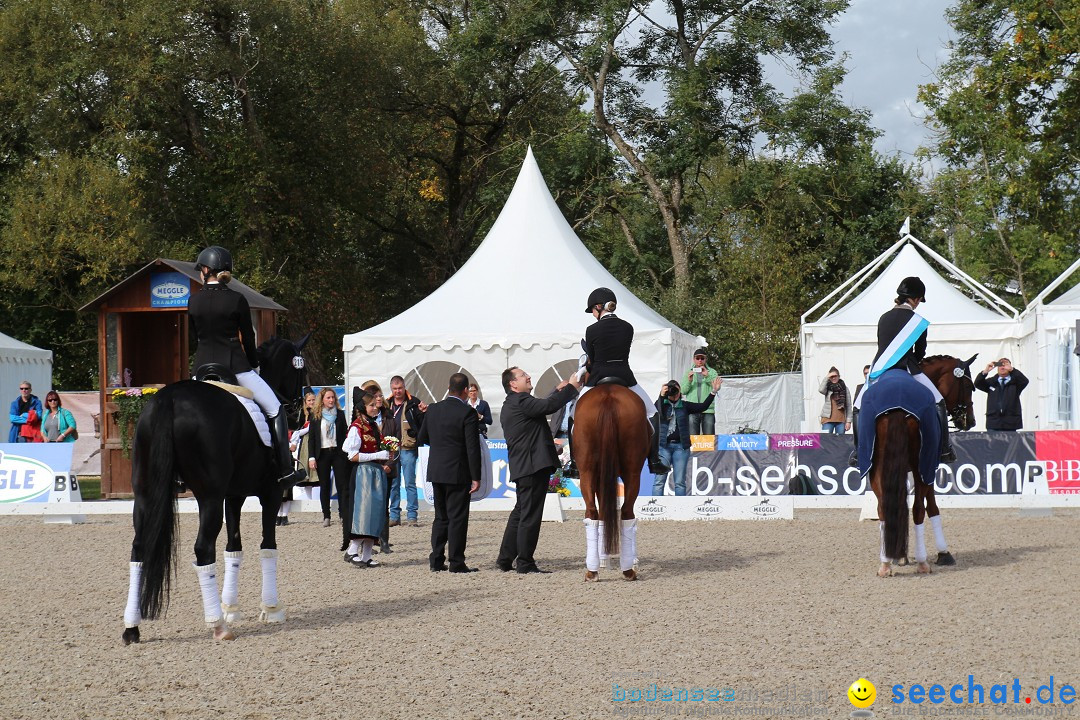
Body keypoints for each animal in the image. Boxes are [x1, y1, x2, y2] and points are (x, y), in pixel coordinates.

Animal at [123, 334, 308, 643]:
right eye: (301, 372)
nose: (298, 415)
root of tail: (169, 399)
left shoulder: (233, 496)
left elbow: (234, 548)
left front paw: (231, 608)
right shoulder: (270, 494)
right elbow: (268, 546)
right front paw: (271, 608)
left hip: (145, 495)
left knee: (139, 548)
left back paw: (131, 628)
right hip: (208, 497)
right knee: (203, 548)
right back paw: (218, 626)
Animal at [574, 386, 648, 582]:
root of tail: (608, 396)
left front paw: (603, 557)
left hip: (587, 472)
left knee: (594, 512)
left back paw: (595, 570)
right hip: (631, 472)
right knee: (625, 512)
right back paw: (627, 569)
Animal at [868, 356, 980, 578]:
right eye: (967, 386)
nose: (970, 421)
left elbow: (901, 502)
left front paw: (900, 556)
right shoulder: (929, 467)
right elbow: (932, 506)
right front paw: (944, 553)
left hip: (877, 468)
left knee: (884, 507)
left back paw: (886, 564)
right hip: (922, 466)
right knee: (918, 509)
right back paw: (921, 562)